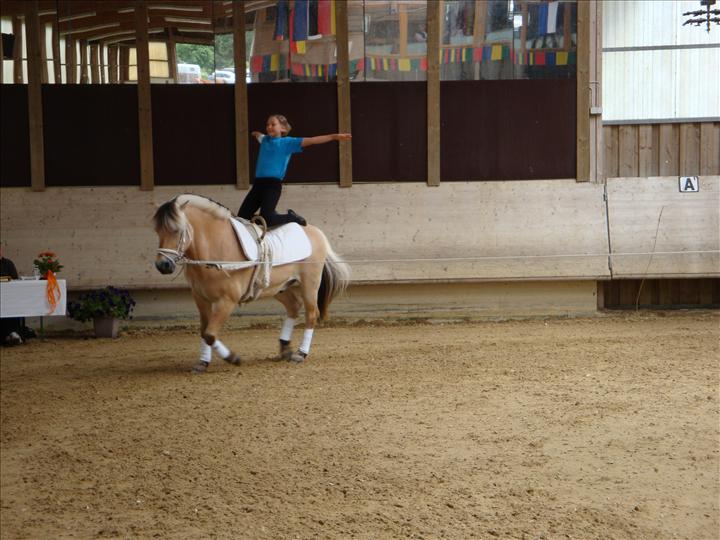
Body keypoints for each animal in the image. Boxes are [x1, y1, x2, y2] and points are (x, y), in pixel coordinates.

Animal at [152, 194, 350, 373]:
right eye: (157, 231)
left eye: (177, 230)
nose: (162, 265)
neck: (215, 249)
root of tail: (316, 232)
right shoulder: (200, 298)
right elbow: (204, 331)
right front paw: (202, 363)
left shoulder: (227, 301)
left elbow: (209, 334)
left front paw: (233, 358)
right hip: (280, 288)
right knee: (293, 308)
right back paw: (285, 349)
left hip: (310, 284)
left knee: (311, 314)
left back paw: (300, 354)